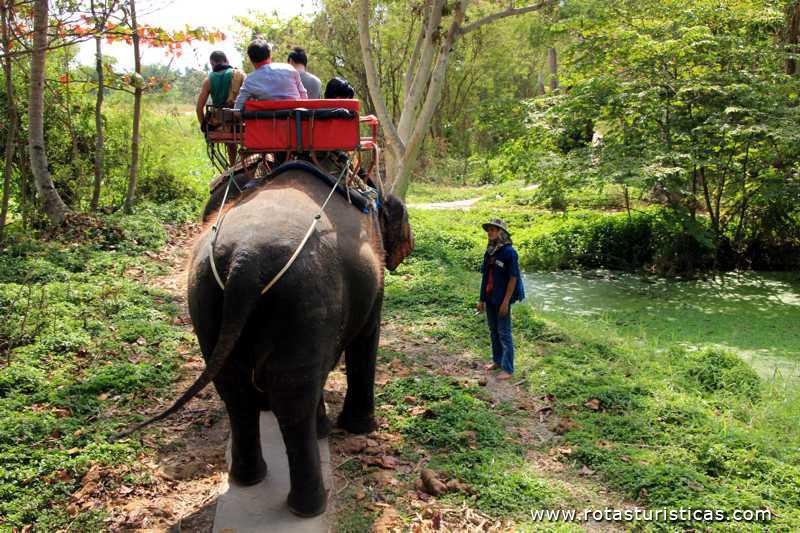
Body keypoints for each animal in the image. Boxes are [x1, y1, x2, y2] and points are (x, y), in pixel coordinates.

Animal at [123, 162, 413, 517]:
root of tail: (246, 260)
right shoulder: (371, 285)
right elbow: (365, 338)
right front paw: (356, 428)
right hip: (305, 296)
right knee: (293, 400)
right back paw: (310, 506)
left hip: (204, 296)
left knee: (235, 391)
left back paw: (249, 476)